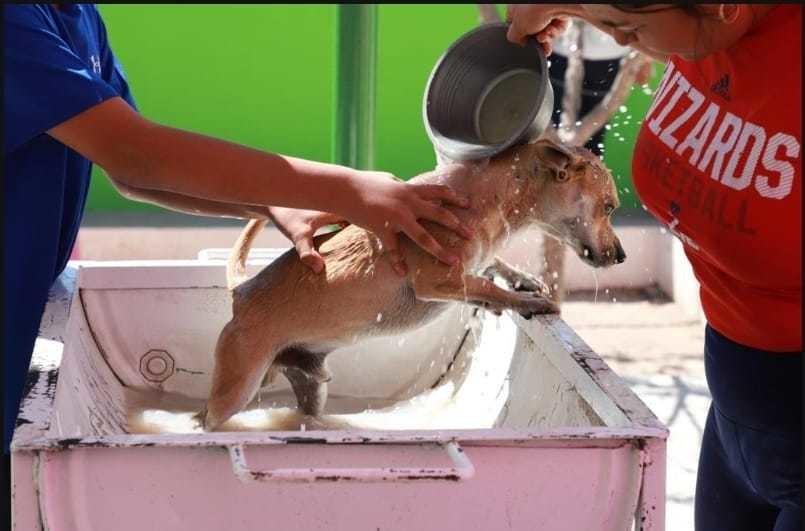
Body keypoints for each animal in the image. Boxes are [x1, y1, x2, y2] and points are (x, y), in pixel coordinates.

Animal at [198, 138, 624, 432]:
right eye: (609, 207)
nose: (620, 256)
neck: (494, 199)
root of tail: (241, 291)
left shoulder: (469, 265)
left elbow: (489, 269)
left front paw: (521, 280)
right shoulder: (436, 279)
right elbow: (484, 285)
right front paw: (527, 302)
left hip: (309, 385)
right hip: (237, 386)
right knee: (208, 416)